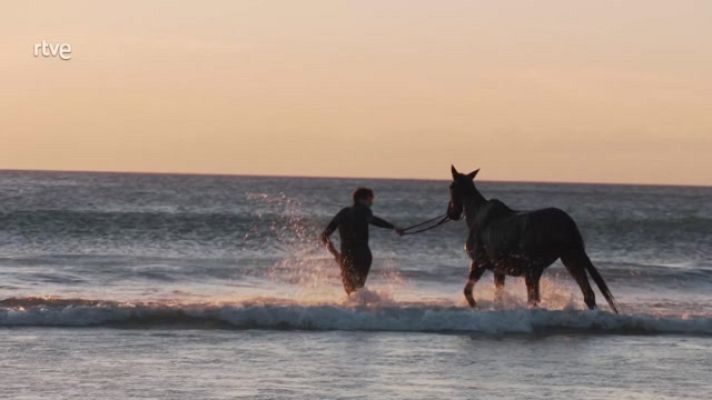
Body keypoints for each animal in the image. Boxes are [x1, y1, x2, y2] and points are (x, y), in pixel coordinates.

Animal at [447, 165, 618, 313]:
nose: (452, 213)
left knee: (535, 299)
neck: (475, 216)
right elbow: (498, 296)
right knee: (587, 294)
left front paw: (476, 306)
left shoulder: (479, 262)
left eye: (451, 186)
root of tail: (569, 225)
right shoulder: (498, 269)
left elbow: (468, 291)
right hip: (569, 259)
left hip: (535, 268)